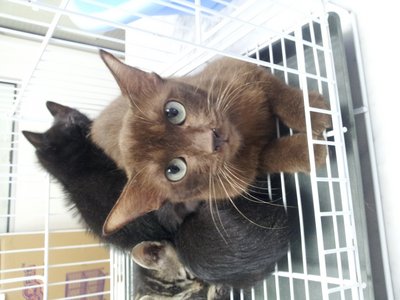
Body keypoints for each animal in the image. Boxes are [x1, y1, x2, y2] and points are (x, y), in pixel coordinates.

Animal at [92, 50, 330, 236]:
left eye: (173, 112)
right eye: (174, 170)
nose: (211, 139)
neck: (246, 130)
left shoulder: (241, 69)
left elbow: (280, 95)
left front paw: (313, 112)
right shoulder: (248, 171)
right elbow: (272, 154)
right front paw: (310, 149)